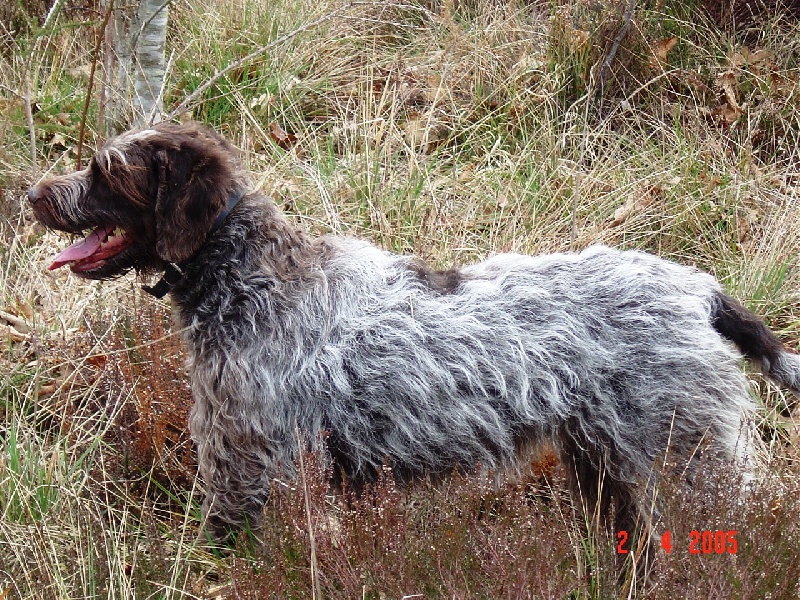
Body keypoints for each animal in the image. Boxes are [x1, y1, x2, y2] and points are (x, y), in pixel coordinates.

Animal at [26, 122, 800, 552]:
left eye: (104, 170)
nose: (32, 193)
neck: (251, 277)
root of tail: (699, 290)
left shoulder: (252, 467)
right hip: (612, 470)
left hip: (690, 461)